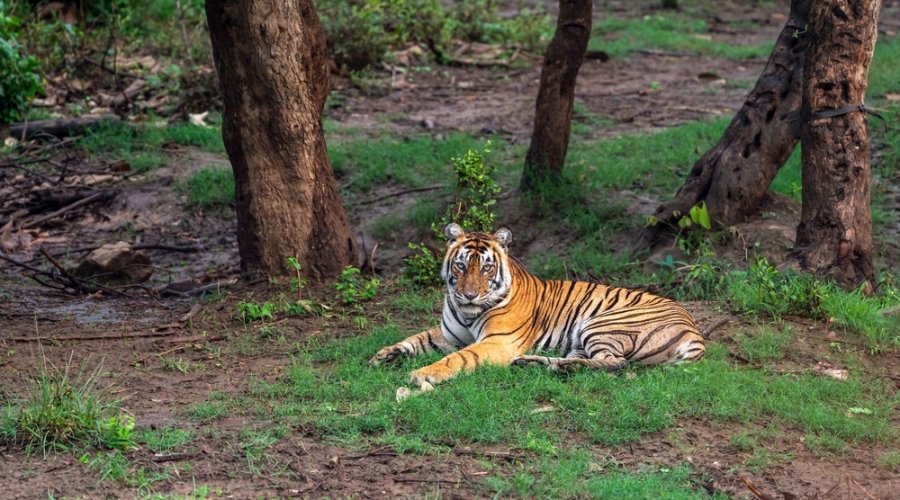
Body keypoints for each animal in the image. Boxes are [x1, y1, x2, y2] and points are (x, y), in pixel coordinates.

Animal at [370, 223, 705, 391]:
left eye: (487, 268)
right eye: (461, 265)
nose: (469, 295)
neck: (467, 314)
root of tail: (696, 333)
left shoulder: (498, 342)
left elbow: (459, 358)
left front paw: (422, 374)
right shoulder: (448, 334)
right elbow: (416, 339)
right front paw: (384, 355)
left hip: (602, 324)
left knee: (615, 364)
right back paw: (535, 364)